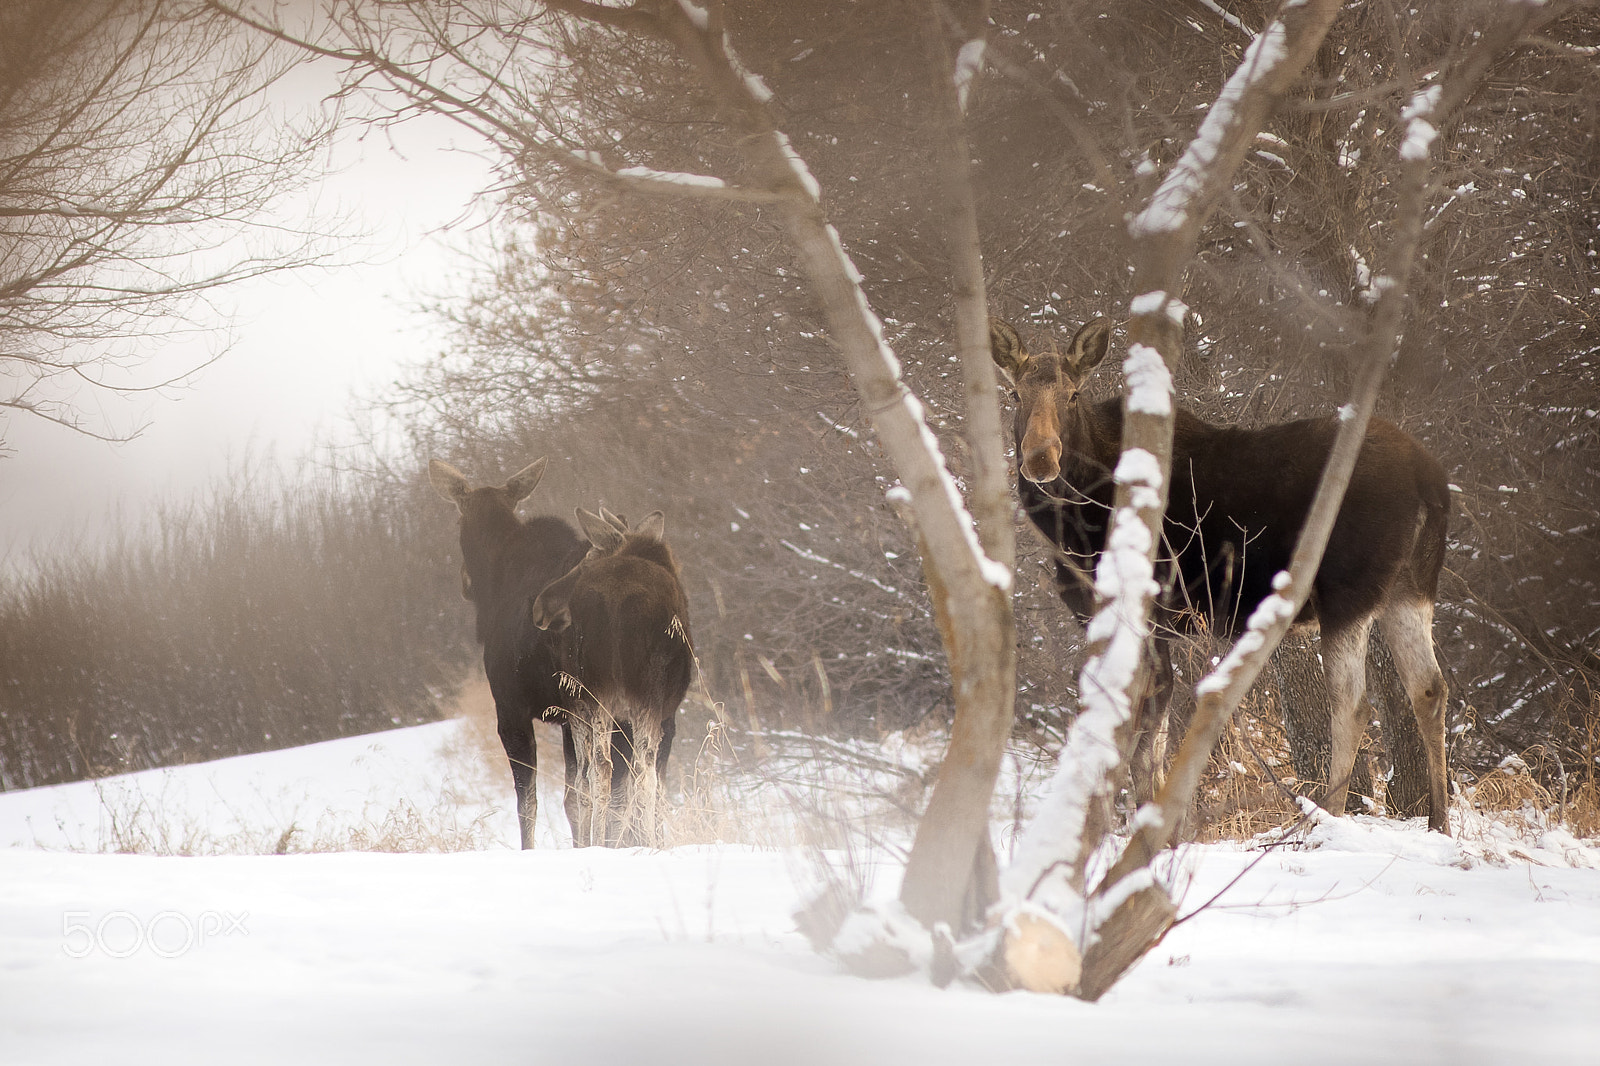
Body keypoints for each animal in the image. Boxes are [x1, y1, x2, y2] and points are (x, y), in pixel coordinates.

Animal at [429, 457, 590, 849]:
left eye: (458, 520)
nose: (464, 581)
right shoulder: (562, 716)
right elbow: (568, 800)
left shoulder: (511, 710)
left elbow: (528, 801)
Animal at [530, 507, 694, 847]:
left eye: (587, 559)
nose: (540, 607)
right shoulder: (664, 715)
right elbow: (651, 787)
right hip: (644, 696)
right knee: (642, 771)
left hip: (596, 696)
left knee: (598, 769)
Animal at [990, 316, 1453, 833]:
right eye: (1014, 393)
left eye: (1072, 394)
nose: (1040, 458)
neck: (1072, 519)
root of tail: (1432, 484)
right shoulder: (1161, 627)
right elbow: (1152, 740)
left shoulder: (1134, 613)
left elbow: (1131, 737)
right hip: (1410, 589)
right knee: (1429, 688)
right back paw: (1440, 823)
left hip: (1346, 594)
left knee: (1353, 704)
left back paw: (1324, 820)